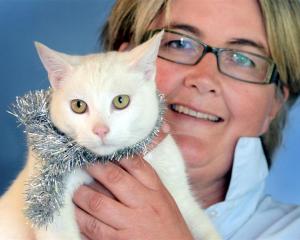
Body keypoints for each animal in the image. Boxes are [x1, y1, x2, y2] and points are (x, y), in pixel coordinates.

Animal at [0, 32, 220, 240]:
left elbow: (199, 223)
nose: (100, 130)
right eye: (78, 106)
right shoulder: (54, 215)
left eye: (121, 101)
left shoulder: (179, 193)